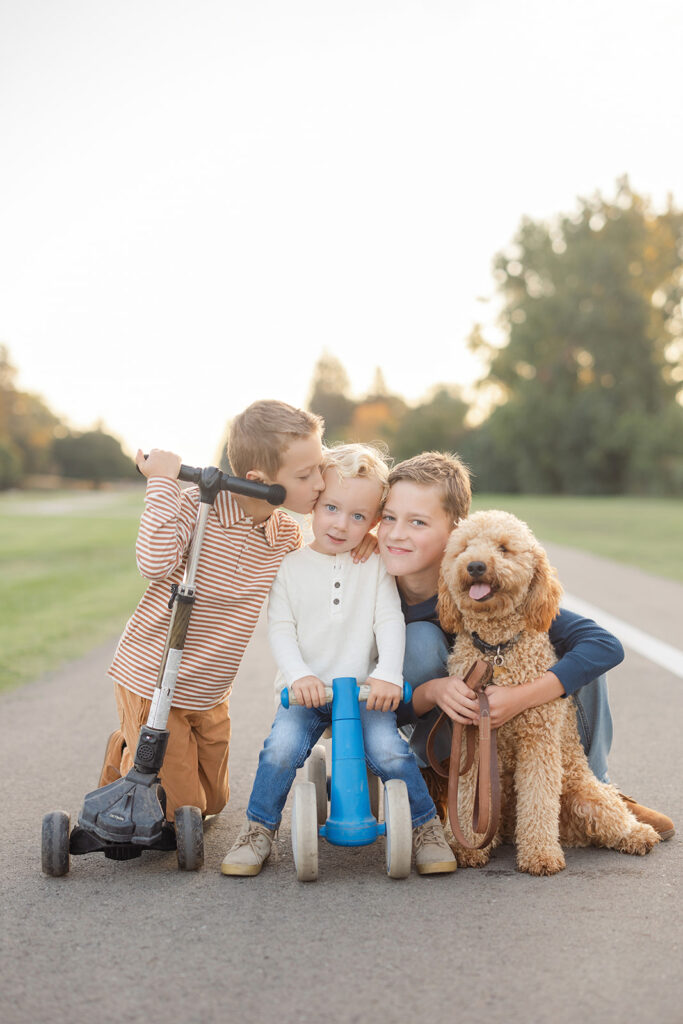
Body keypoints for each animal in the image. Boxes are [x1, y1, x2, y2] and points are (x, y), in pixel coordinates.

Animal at [438, 507, 663, 876]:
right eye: (465, 547)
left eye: (504, 548)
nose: (475, 566)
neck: (497, 649)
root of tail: (571, 833)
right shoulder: (470, 736)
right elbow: (466, 795)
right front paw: (463, 846)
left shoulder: (538, 741)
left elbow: (539, 800)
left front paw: (540, 855)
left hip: (586, 794)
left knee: (613, 814)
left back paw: (639, 834)